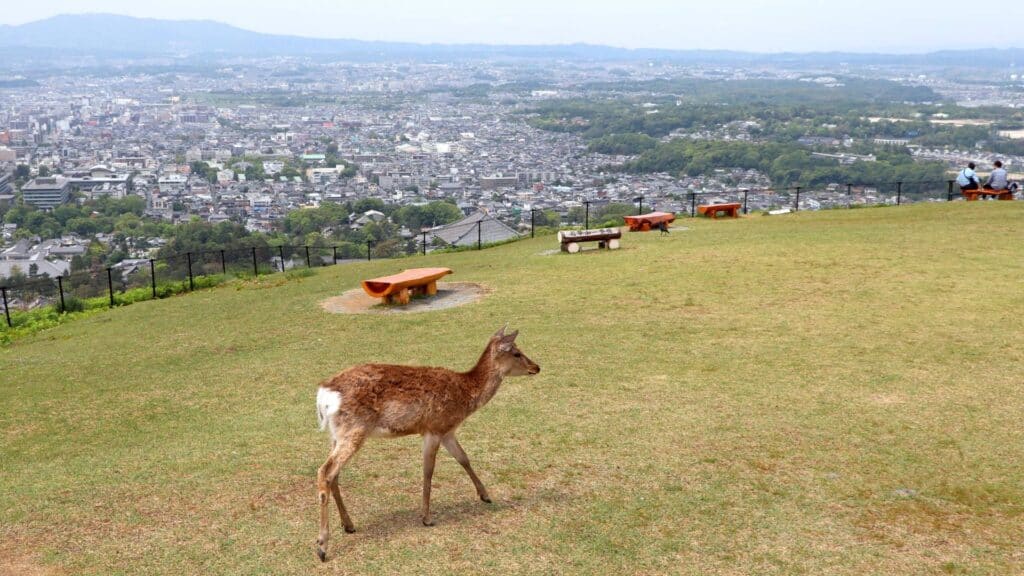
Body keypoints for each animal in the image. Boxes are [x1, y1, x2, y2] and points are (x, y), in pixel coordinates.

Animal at [311, 327, 540, 561]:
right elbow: (428, 471)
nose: (536, 367)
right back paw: (322, 546)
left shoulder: (448, 431)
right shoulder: (434, 428)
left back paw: (348, 525)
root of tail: (324, 395)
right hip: (354, 430)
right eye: (517, 353)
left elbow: (463, 458)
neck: (465, 395)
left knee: (334, 475)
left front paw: (485, 496)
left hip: (336, 434)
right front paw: (427, 518)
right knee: (325, 471)